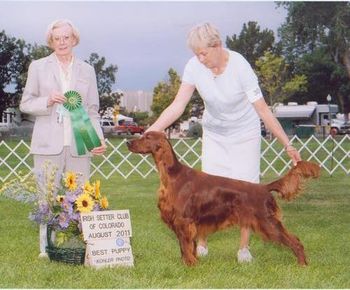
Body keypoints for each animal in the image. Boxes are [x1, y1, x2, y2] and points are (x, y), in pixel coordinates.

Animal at [126, 131, 320, 266]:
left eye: (147, 136)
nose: (128, 142)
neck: (173, 176)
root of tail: (264, 187)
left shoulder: (183, 221)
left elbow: (185, 246)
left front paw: (191, 266)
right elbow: (186, 247)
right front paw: (188, 263)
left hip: (267, 222)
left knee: (295, 241)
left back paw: (302, 264)